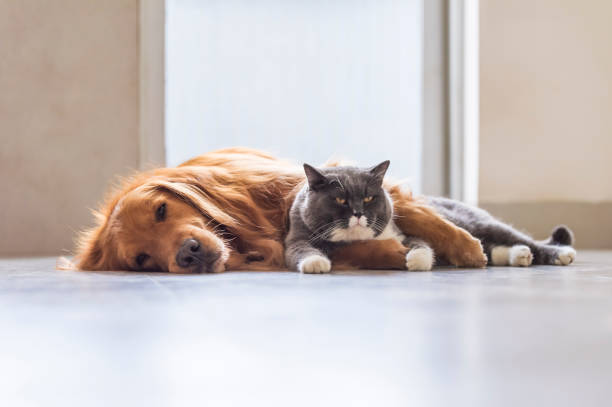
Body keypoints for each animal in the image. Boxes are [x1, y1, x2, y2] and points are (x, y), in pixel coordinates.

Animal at [71, 147, 486, 274]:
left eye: (161, 210)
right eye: (142, 259)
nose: (188, 254)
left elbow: (422, 217)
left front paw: (466, 247)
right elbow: (335, 247)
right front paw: (389, 251)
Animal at [284, 160, 576, 274]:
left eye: (368, 198)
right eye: (340, 200)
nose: (358, 213)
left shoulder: (404, 232)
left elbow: (421, 244)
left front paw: (417, 260)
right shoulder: (295, 238)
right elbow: (300, 250)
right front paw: (315, 262)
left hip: (480, 224)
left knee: (521, 239)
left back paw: (558, 254)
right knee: (493, 251)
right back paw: (519, 255)